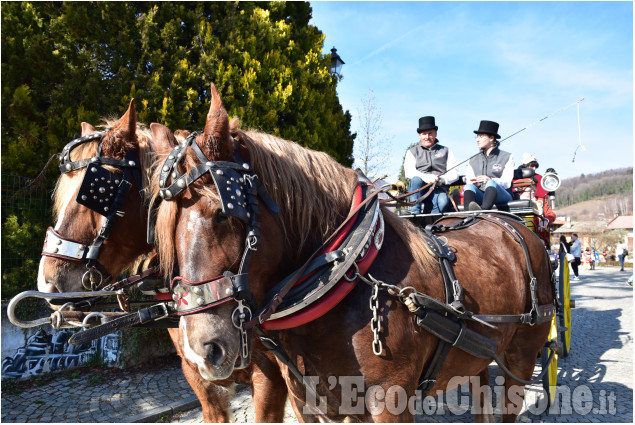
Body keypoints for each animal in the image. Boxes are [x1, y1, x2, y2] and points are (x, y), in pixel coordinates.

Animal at [152, 83, 556, 420]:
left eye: (223, 213)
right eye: (164, 231)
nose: (201, 351)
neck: (343, 272)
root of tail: (515, 225)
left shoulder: (389, 401)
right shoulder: (307, 399)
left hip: (520, 359)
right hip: (478, 356)